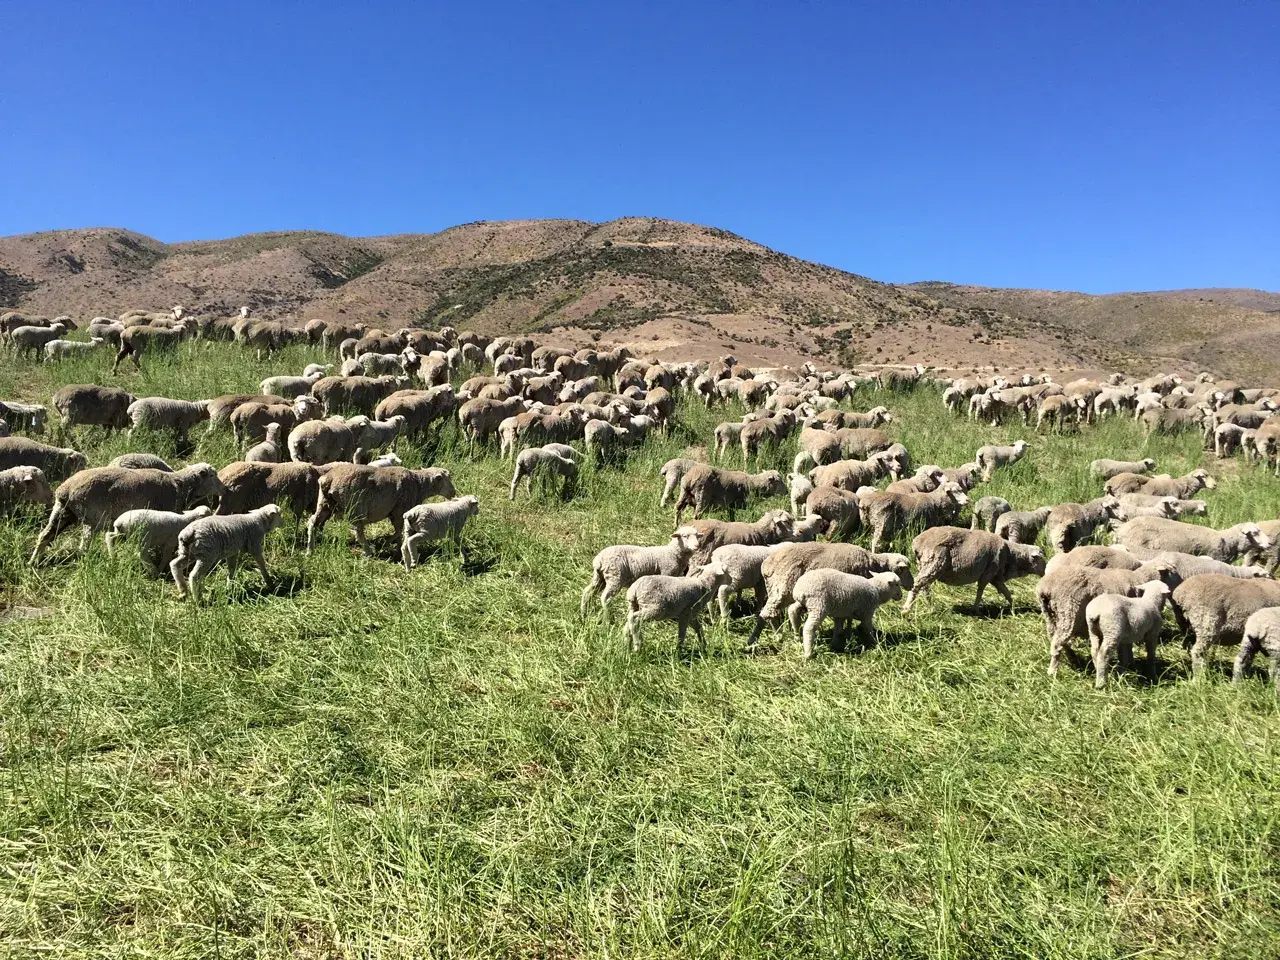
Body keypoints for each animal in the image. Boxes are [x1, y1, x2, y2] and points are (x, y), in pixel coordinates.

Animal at [30, 463, 224, 564]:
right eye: (212, 475)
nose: (223, 488)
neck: (180, 485)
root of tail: (66, 489)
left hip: (63, 511)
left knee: (45, 535)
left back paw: (34, 561)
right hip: (91, 517)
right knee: (83, 545)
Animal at [306, 464, 455, 554]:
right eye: (446, 479)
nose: (454, 493)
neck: (418, 484)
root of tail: (328, 479)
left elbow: (399, 532)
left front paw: (396, 547)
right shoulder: (399, 511)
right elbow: (398, 531)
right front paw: (387, 543)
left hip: (325, 504)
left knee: (312, 522)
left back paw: (309, 550)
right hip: (356, 508)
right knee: (359, 533)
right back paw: (368, 551)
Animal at [903, 526, 1046, 613]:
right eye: (1040, 559)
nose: (1045, 573)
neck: (1011, 555)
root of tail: (917, 543)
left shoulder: (995, 576)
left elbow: (1006, 591)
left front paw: (1012, 605)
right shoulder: (989, 572)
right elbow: (981, 590)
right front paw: (976, 609)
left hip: (925, 564)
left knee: (924, 587)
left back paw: (930, 607)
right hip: (934, 562)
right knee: (918, 584)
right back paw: (906, 610)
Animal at [1036, 562, 1171, 676]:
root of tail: (1045, 588)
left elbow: (1126, 648)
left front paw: (1129, 666)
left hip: (1051, 616)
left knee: (1058, 639)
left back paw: (1074, 660)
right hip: (1069, 613)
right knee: (1057, 643)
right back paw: (1052, 671)